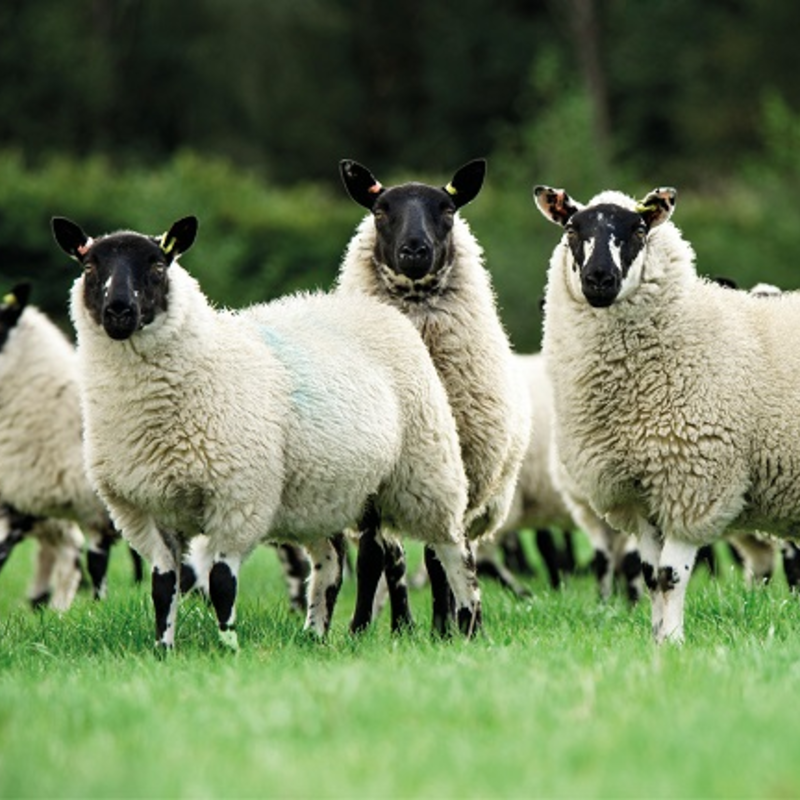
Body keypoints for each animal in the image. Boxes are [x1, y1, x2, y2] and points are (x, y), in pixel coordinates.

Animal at [54, 214, 482, 648]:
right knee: (332, 561)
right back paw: (314, 635)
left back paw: (469, 627)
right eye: (89, 267)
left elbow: (221, 582)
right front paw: (163, 649)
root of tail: (372, 308)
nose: (119, 311)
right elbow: (162, 586)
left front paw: (228, 647)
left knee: (455, 549)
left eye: (159, 265)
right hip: (325, 493)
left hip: (425, 468)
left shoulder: (238, 495)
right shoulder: (142, 509)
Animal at [532, 183, 800, 644]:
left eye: (639, 229)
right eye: (571, 228)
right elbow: (648, 573)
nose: (599, 278)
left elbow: (670, 575)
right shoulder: (641, 497)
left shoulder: (690, 481)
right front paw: (657, 639)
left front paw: (673, 642)